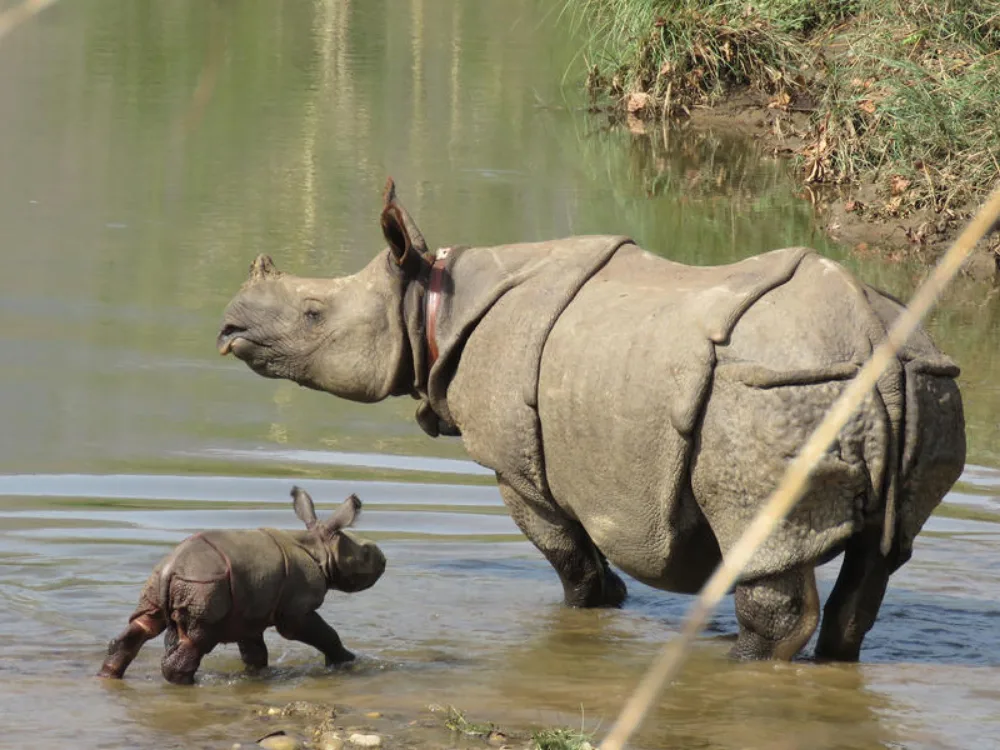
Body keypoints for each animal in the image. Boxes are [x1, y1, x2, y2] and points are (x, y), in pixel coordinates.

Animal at [97, 487, 386, 684]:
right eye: (366, 553)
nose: (384, 560)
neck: (319, 548)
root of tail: (170, 569)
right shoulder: (296, 610)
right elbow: (325, 634)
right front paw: (346, 662)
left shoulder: (250, 612)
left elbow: (255, 652)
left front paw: (258, 676)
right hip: (204, 585)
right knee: (197, 640)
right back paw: (190, 684)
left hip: (163, 581)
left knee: (144, 624)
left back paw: (107, 676)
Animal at [215, 179, 965, 662]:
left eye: (313, 315)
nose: (228, 329)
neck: (431, 303)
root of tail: (870, 336)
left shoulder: (518, 469)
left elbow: (570, 558)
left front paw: (587, 613)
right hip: (922, 381)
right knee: (881, 558)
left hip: (773, 394)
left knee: (763, 537)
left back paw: (738, 661)